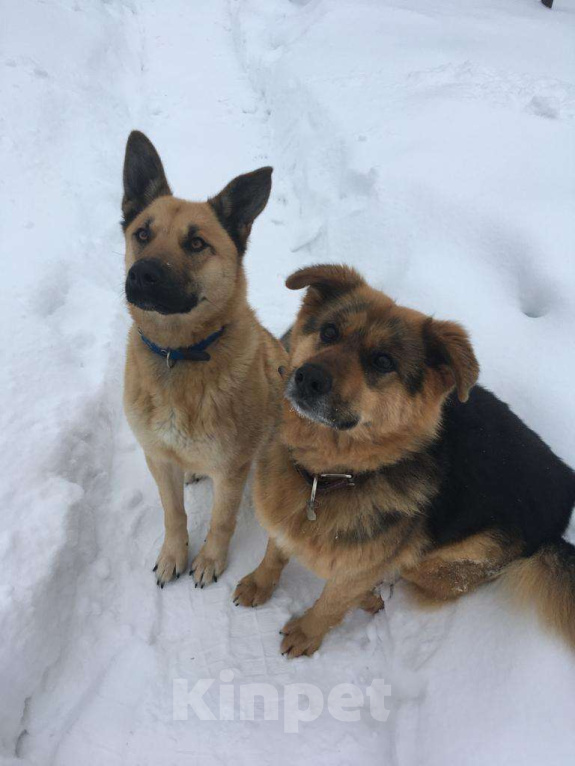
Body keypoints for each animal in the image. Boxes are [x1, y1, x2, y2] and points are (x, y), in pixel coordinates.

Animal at [124, 132, 290, 588]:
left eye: (196, 243)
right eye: (142, 233)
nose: (141, 275)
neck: (178, 355)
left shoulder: (231, 471)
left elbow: (221, 521)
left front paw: (210, 561)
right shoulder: (159, 459)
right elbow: (173, 514)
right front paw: (173, 556)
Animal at [233, 266, 575, 660]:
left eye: (383, 361)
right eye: (329, 331)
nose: (308, 377)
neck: (328, 475)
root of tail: (561, 517)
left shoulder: (358, 569)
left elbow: (332, 602)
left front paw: (307, 632)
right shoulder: (284, 517)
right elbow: (275, 550)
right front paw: (260, 584)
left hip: (436, 563)